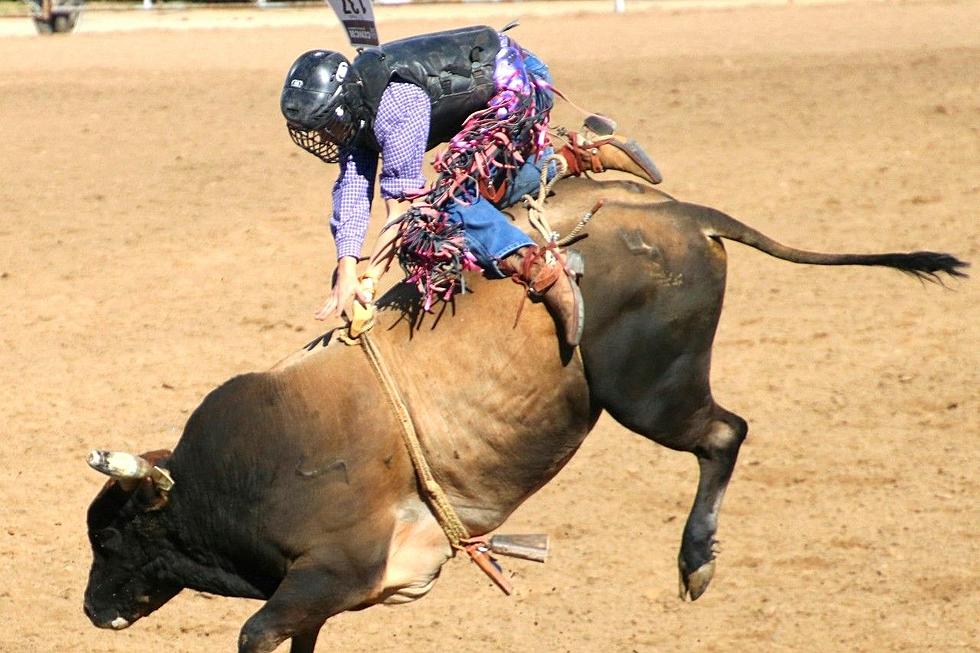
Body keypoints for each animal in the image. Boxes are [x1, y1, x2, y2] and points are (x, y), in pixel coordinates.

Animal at [82, 177, 964, 652]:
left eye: (113, 535)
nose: (90, 608)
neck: (235, 476)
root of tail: (683, 214)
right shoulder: (322, 595)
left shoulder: (336, 567)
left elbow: (259, 631)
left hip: (651, 391)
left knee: (724, 434)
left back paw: (696, 560)